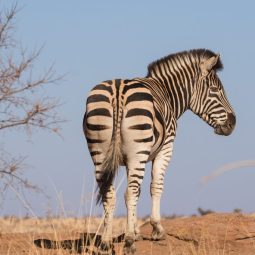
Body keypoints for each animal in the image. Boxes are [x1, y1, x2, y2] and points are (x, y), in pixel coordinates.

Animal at [82, 48, 236, 254]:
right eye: (215, 90)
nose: (233, 123)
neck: (167, 93)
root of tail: (118, 90)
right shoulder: (166, 148)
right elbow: (155, 186)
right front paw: (156, 229)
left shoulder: (128, 159)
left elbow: (136, 193)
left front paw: (136, 231)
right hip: (138, 150)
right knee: (130, 191)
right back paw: (129, 243)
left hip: (99, 151)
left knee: (110, 193)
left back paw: (106, 243)